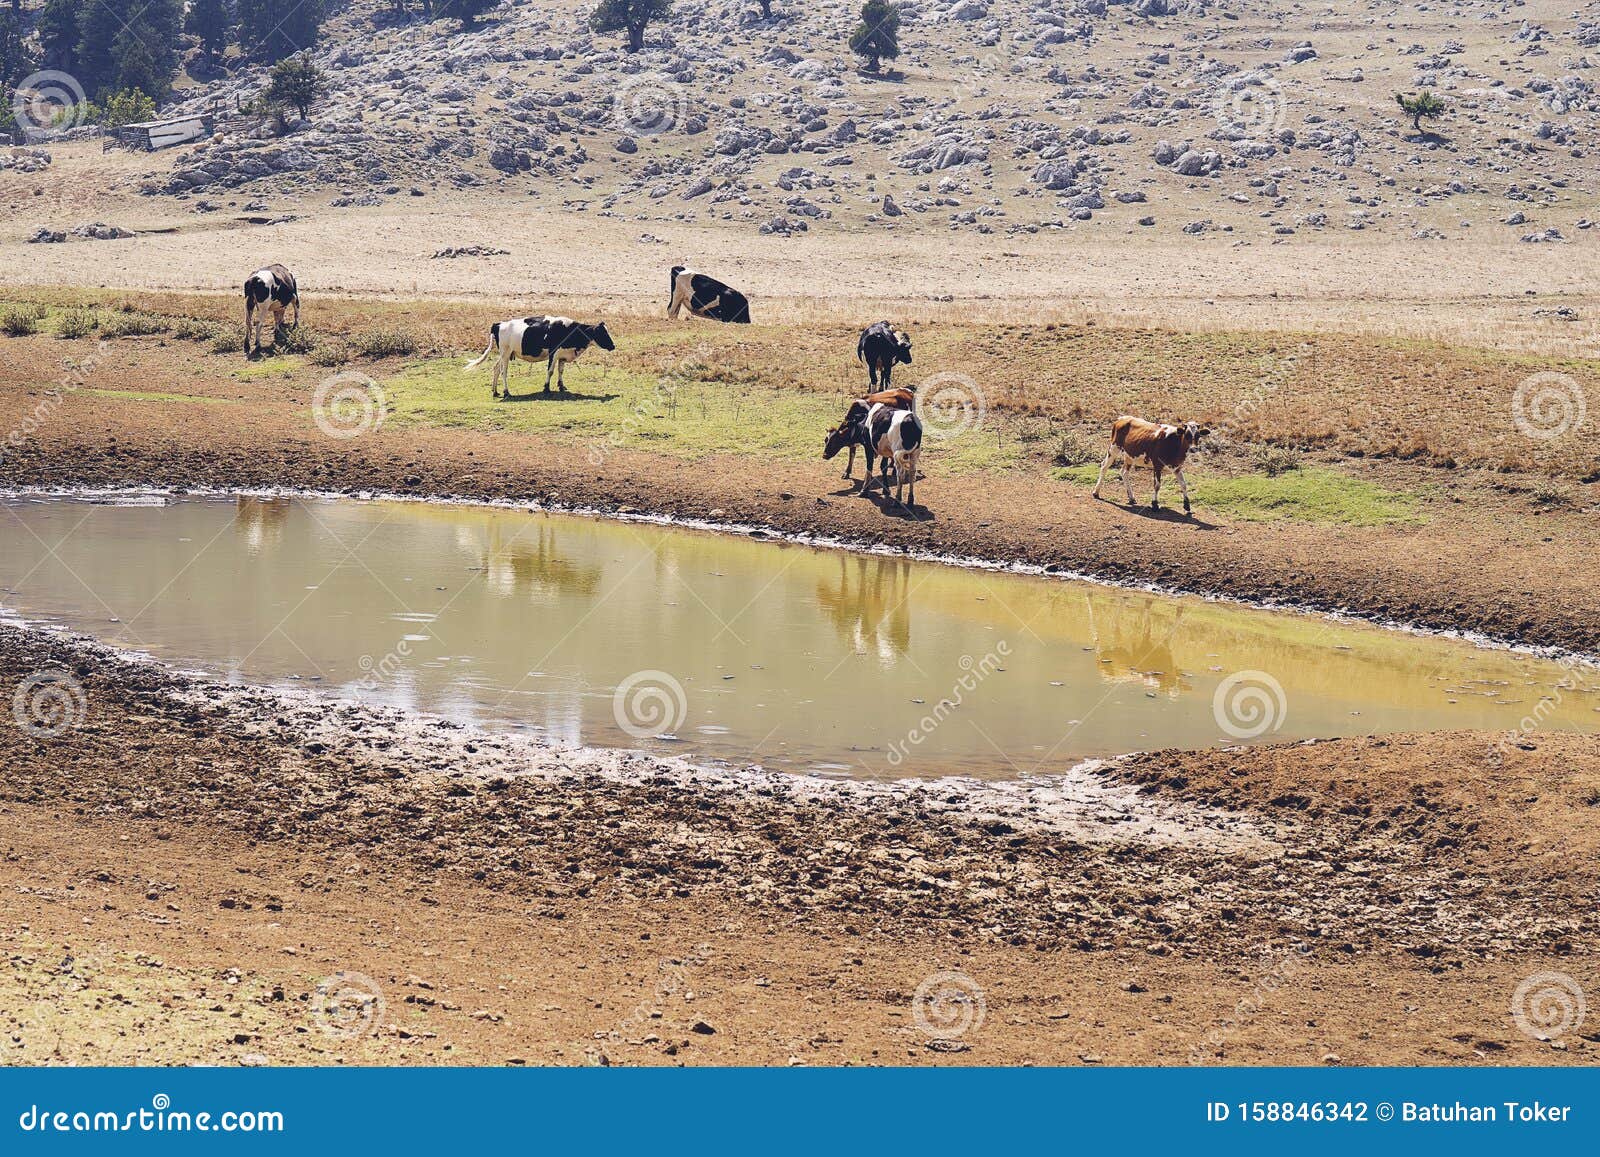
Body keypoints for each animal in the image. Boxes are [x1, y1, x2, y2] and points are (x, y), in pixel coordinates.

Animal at [464, 315, 616, 399]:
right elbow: (551, 371)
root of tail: (499, 324)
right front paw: (546, 388)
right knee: (503, 372)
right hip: (506, 354)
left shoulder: (562, 355)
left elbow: (561, 371)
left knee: (496, 369)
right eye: (602, 333)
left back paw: (495, 391)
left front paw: (561, 386)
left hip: (503, 354)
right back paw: (506, 392)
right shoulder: (553, 352)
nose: (613, 346)